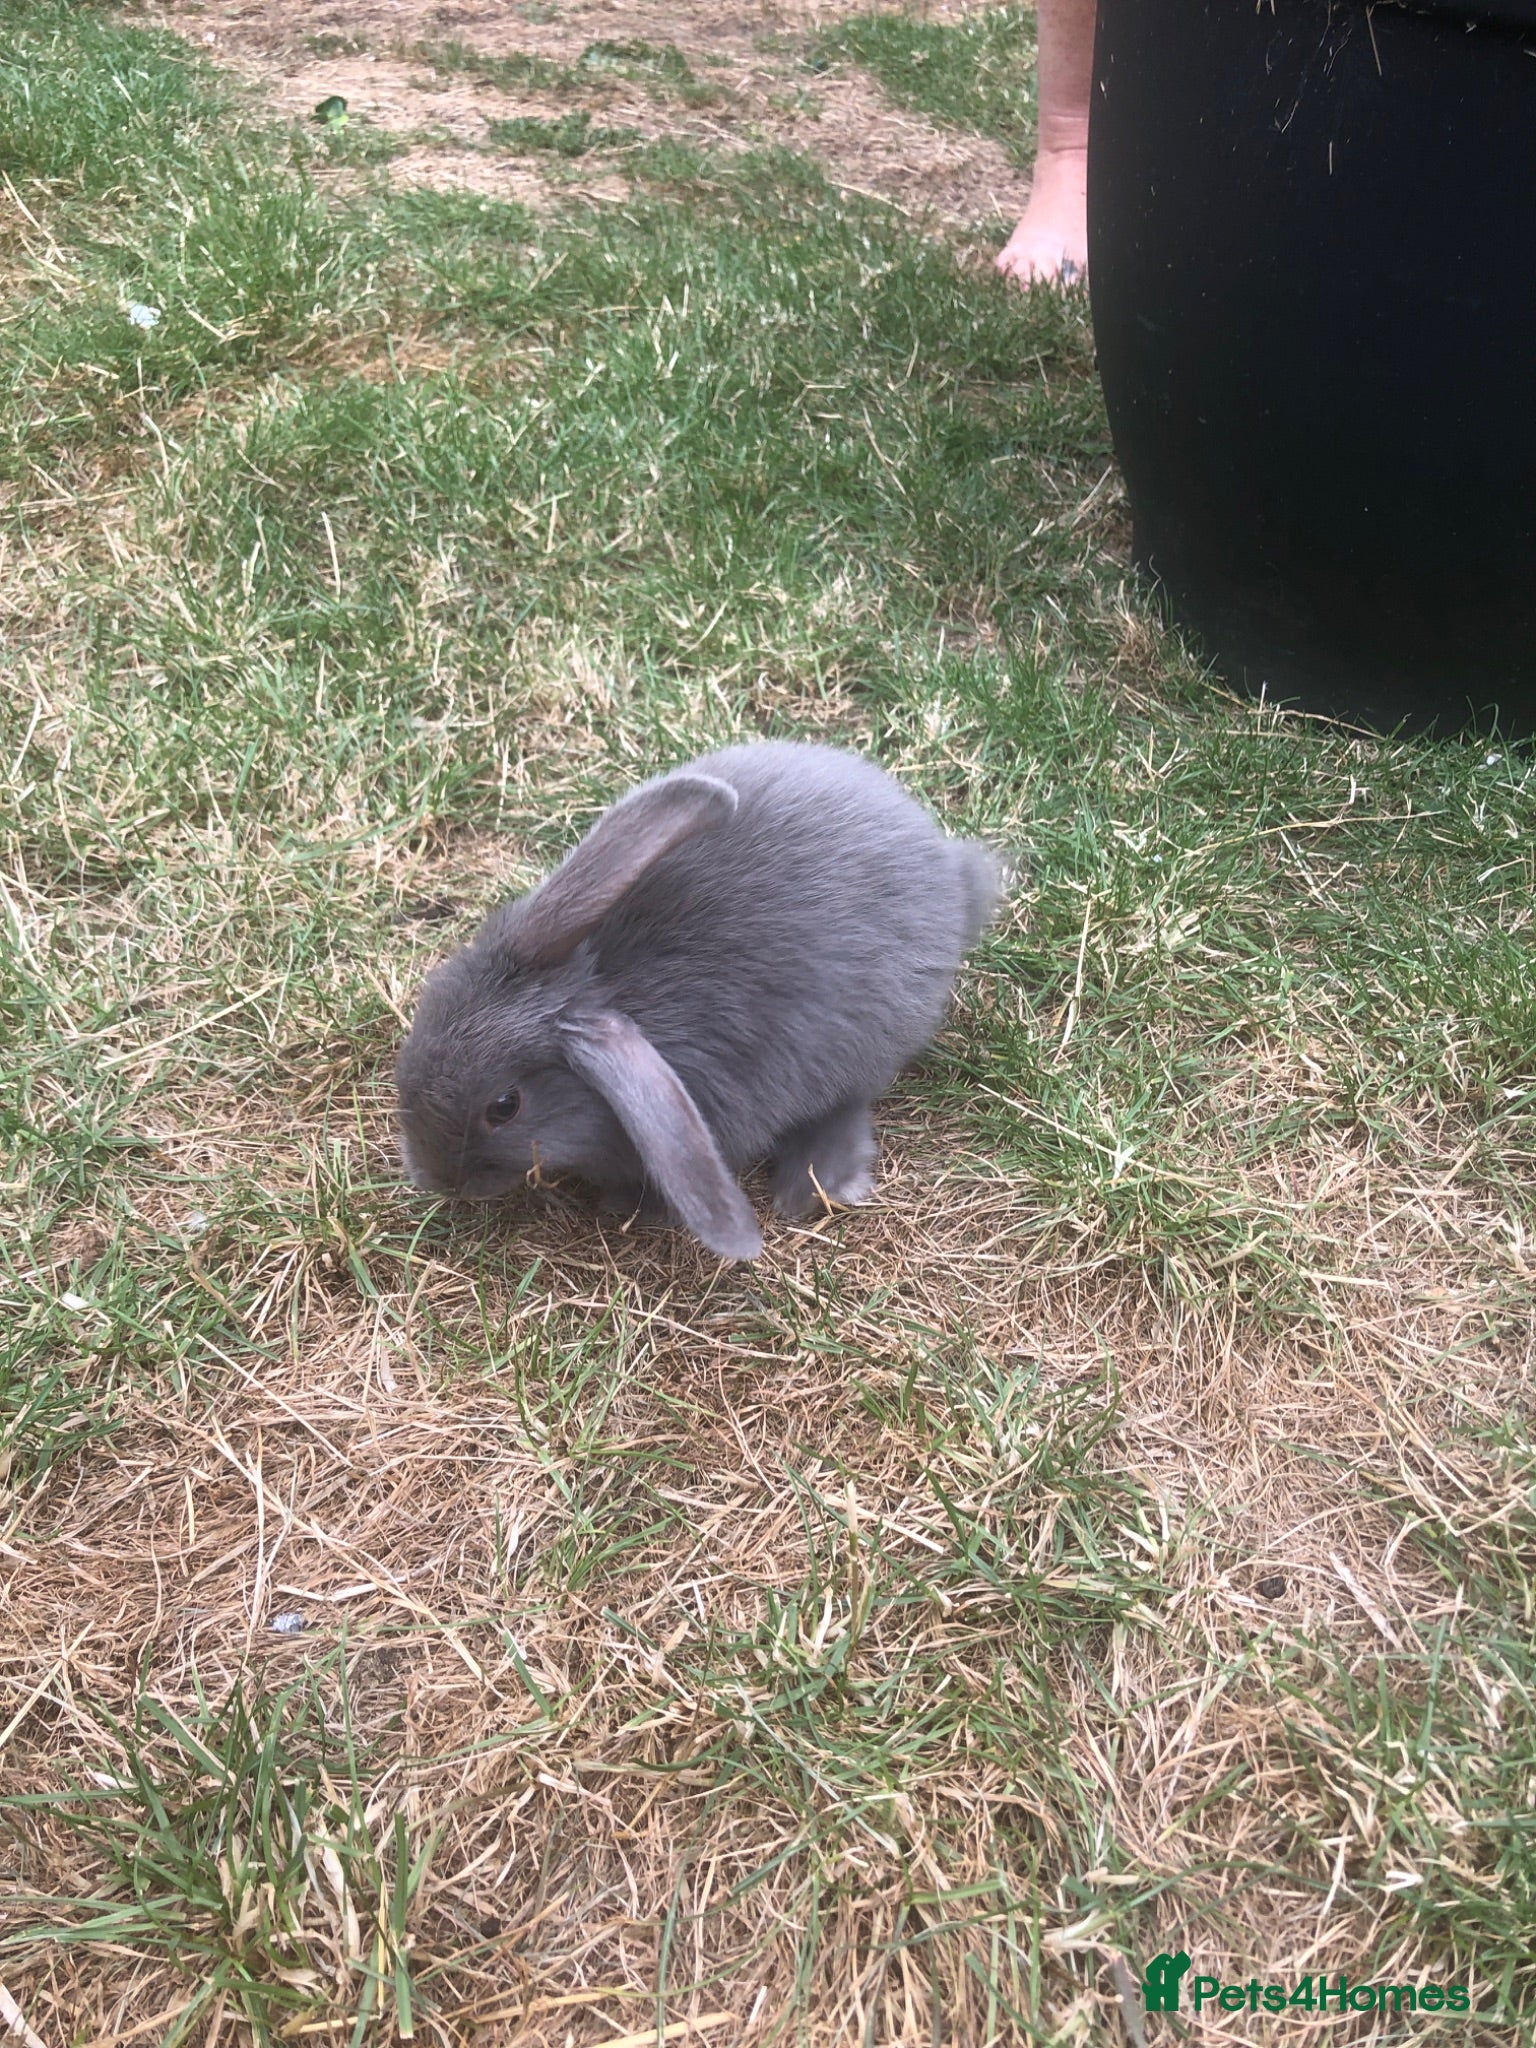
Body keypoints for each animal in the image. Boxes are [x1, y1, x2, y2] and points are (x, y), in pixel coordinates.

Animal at [395, 740, 999, 1261]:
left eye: (505, 1107)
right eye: (432, 1002)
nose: (434, 1179)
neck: (610, 993)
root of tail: (954, 880)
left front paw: (628, 1205)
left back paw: (814, 1182)